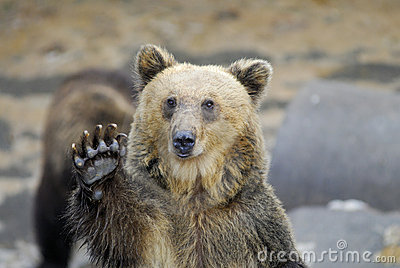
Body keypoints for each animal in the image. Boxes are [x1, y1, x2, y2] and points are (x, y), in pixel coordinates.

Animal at [66, 45, 306, 266]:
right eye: (171, 101)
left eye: (209, 103)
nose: (183, 139)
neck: (193, 189)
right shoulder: (152, 223)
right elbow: (120, 228)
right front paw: (98, 159)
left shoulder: (256, 225)